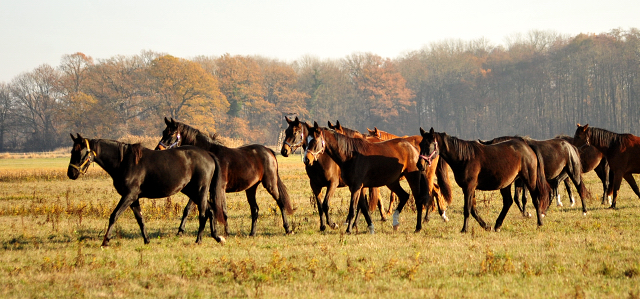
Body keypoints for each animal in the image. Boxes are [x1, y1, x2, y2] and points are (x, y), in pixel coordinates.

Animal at [66, 134, 226, 246]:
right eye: (72, 151)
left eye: (80, 152)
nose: (71, 174)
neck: (125, 162)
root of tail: (208, 154)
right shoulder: (134, 198)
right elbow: (140, 219)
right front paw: (147, 240)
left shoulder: (128, 196)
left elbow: (114, 215)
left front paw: (105, 241)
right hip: (191, 191)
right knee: (211, 210)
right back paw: (217, 237)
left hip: (200, 191)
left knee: (204, 214)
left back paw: (199, 240)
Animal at [416, 127, 552, 233]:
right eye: (420, 144)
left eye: (429, 145)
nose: (419, 165)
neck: (464, 157)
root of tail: (527, 145)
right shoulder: (469, 188)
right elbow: (473, 209)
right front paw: (486, 226)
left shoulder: (469, 187)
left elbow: (467, 209)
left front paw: (464, 229)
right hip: (506, 184)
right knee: (508, 202)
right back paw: (497, 225)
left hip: (529, 179)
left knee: (535, 199)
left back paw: (539, 223)